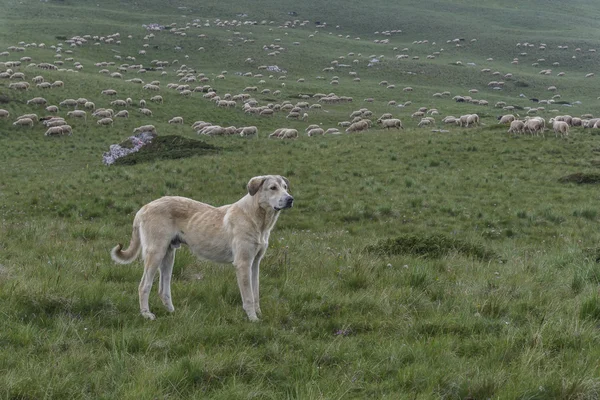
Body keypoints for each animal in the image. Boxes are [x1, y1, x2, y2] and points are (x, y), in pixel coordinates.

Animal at [111, 175, 294, 322]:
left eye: (285, 187)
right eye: (273, 188)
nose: (290, 199)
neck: (258, 219)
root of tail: (144, 208)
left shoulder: (255, 264)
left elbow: (255, 293)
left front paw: (258, 314)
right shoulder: (243, 263)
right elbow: (248, 297)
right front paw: (253, 319)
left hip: (168, 255)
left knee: (163, 289)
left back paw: (172, 312)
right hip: (155, 253)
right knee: (144, 286)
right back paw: (146, 314)